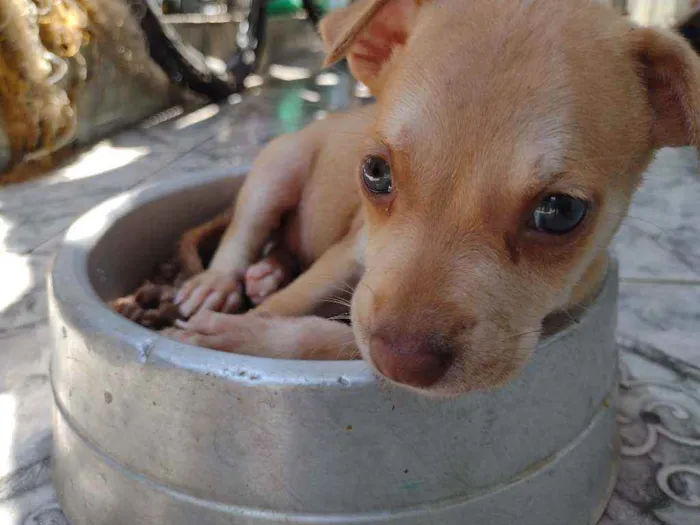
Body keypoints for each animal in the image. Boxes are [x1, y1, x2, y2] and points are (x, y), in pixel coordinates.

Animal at [172, 0, 700, 396]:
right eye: (375, 172)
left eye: (561, 212)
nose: (402, 362)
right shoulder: (349, 256)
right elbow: (291, 304)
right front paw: (235, 327)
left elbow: (339, 338)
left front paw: (245, 334)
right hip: (278, 168)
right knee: (242, 233)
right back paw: (220, 283)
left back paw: (265, 273)